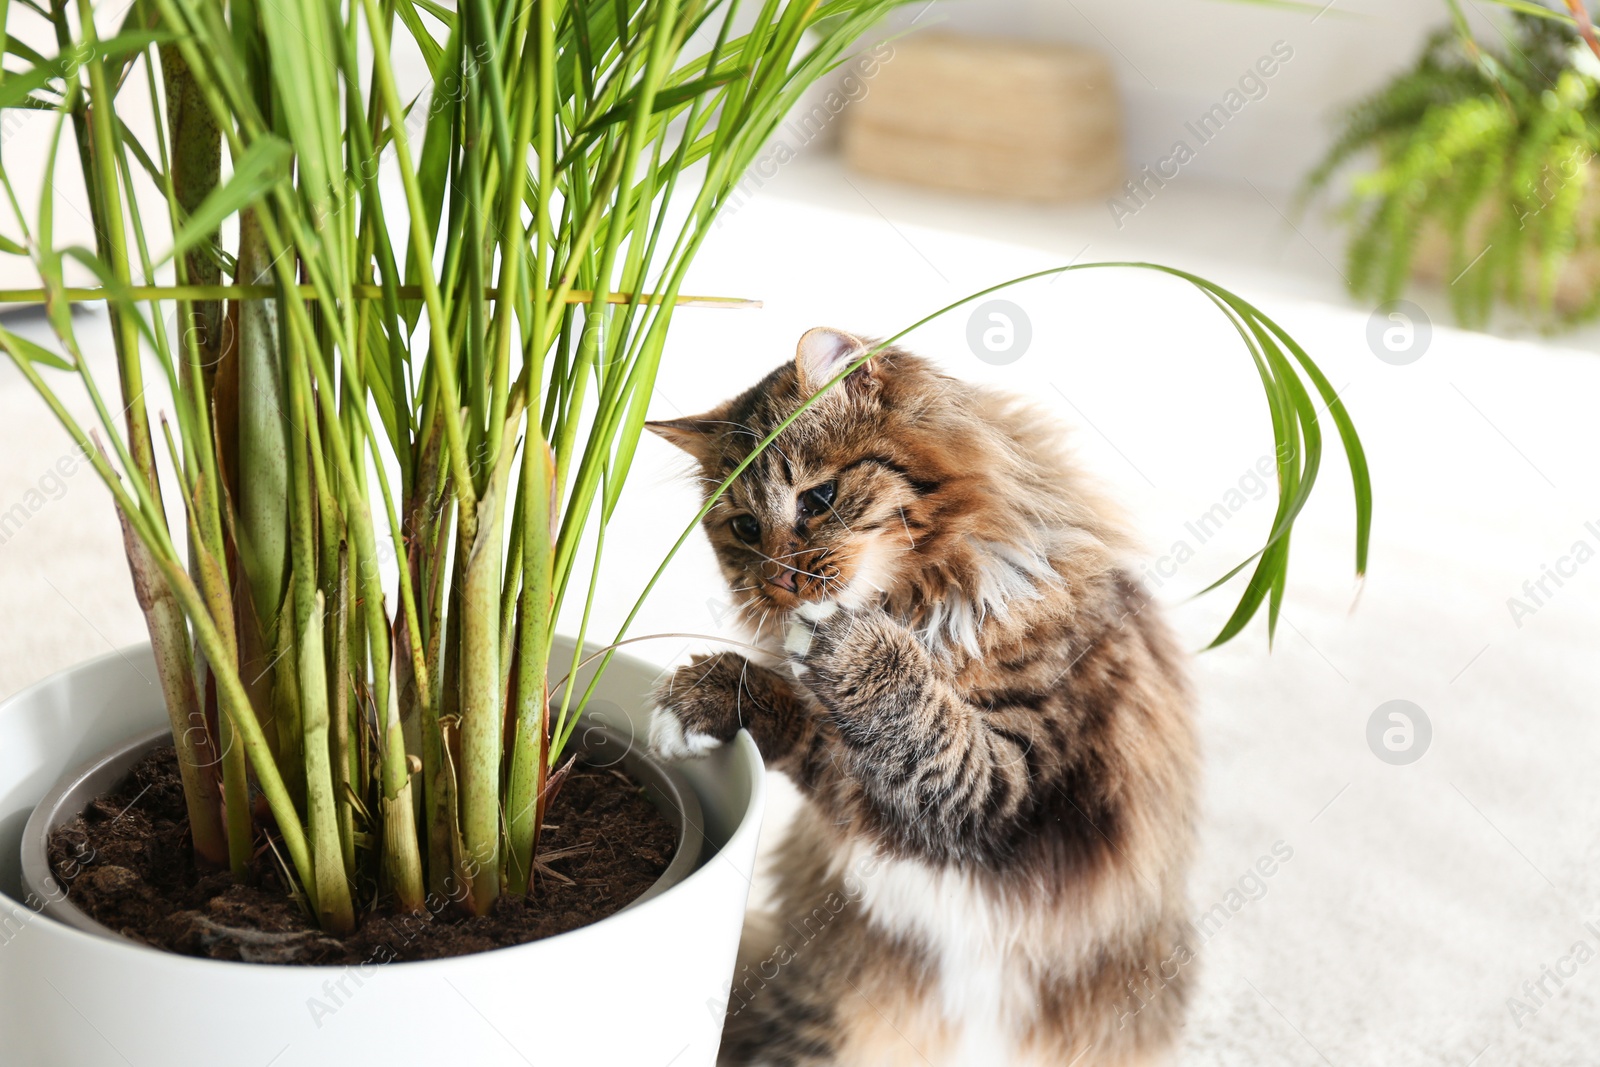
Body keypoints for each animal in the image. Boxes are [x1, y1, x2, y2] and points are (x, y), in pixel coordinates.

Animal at [643, 327, 1196, 1067]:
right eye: (745, 530)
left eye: (817, 499)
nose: (781, 583)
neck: (916, 605)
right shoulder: (867, 792)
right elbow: (823, 724)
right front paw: (699, 696)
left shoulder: (1021, 786)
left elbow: (919, 720)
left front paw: (842, 639)